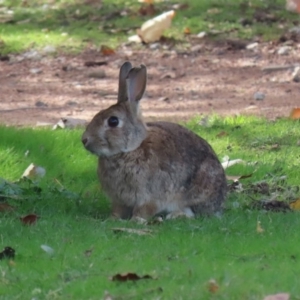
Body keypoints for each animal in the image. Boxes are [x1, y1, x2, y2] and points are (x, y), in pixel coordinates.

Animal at [81, 61, 226, 220]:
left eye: (113, 121)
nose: (84, 139)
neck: (131, 149)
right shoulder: (119, 200)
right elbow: (118, 210)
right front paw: (112, 219)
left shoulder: (150, 196)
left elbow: (145, 210)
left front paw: (136, 220)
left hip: (198, 189)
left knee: (192, 212)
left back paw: (175, 215)